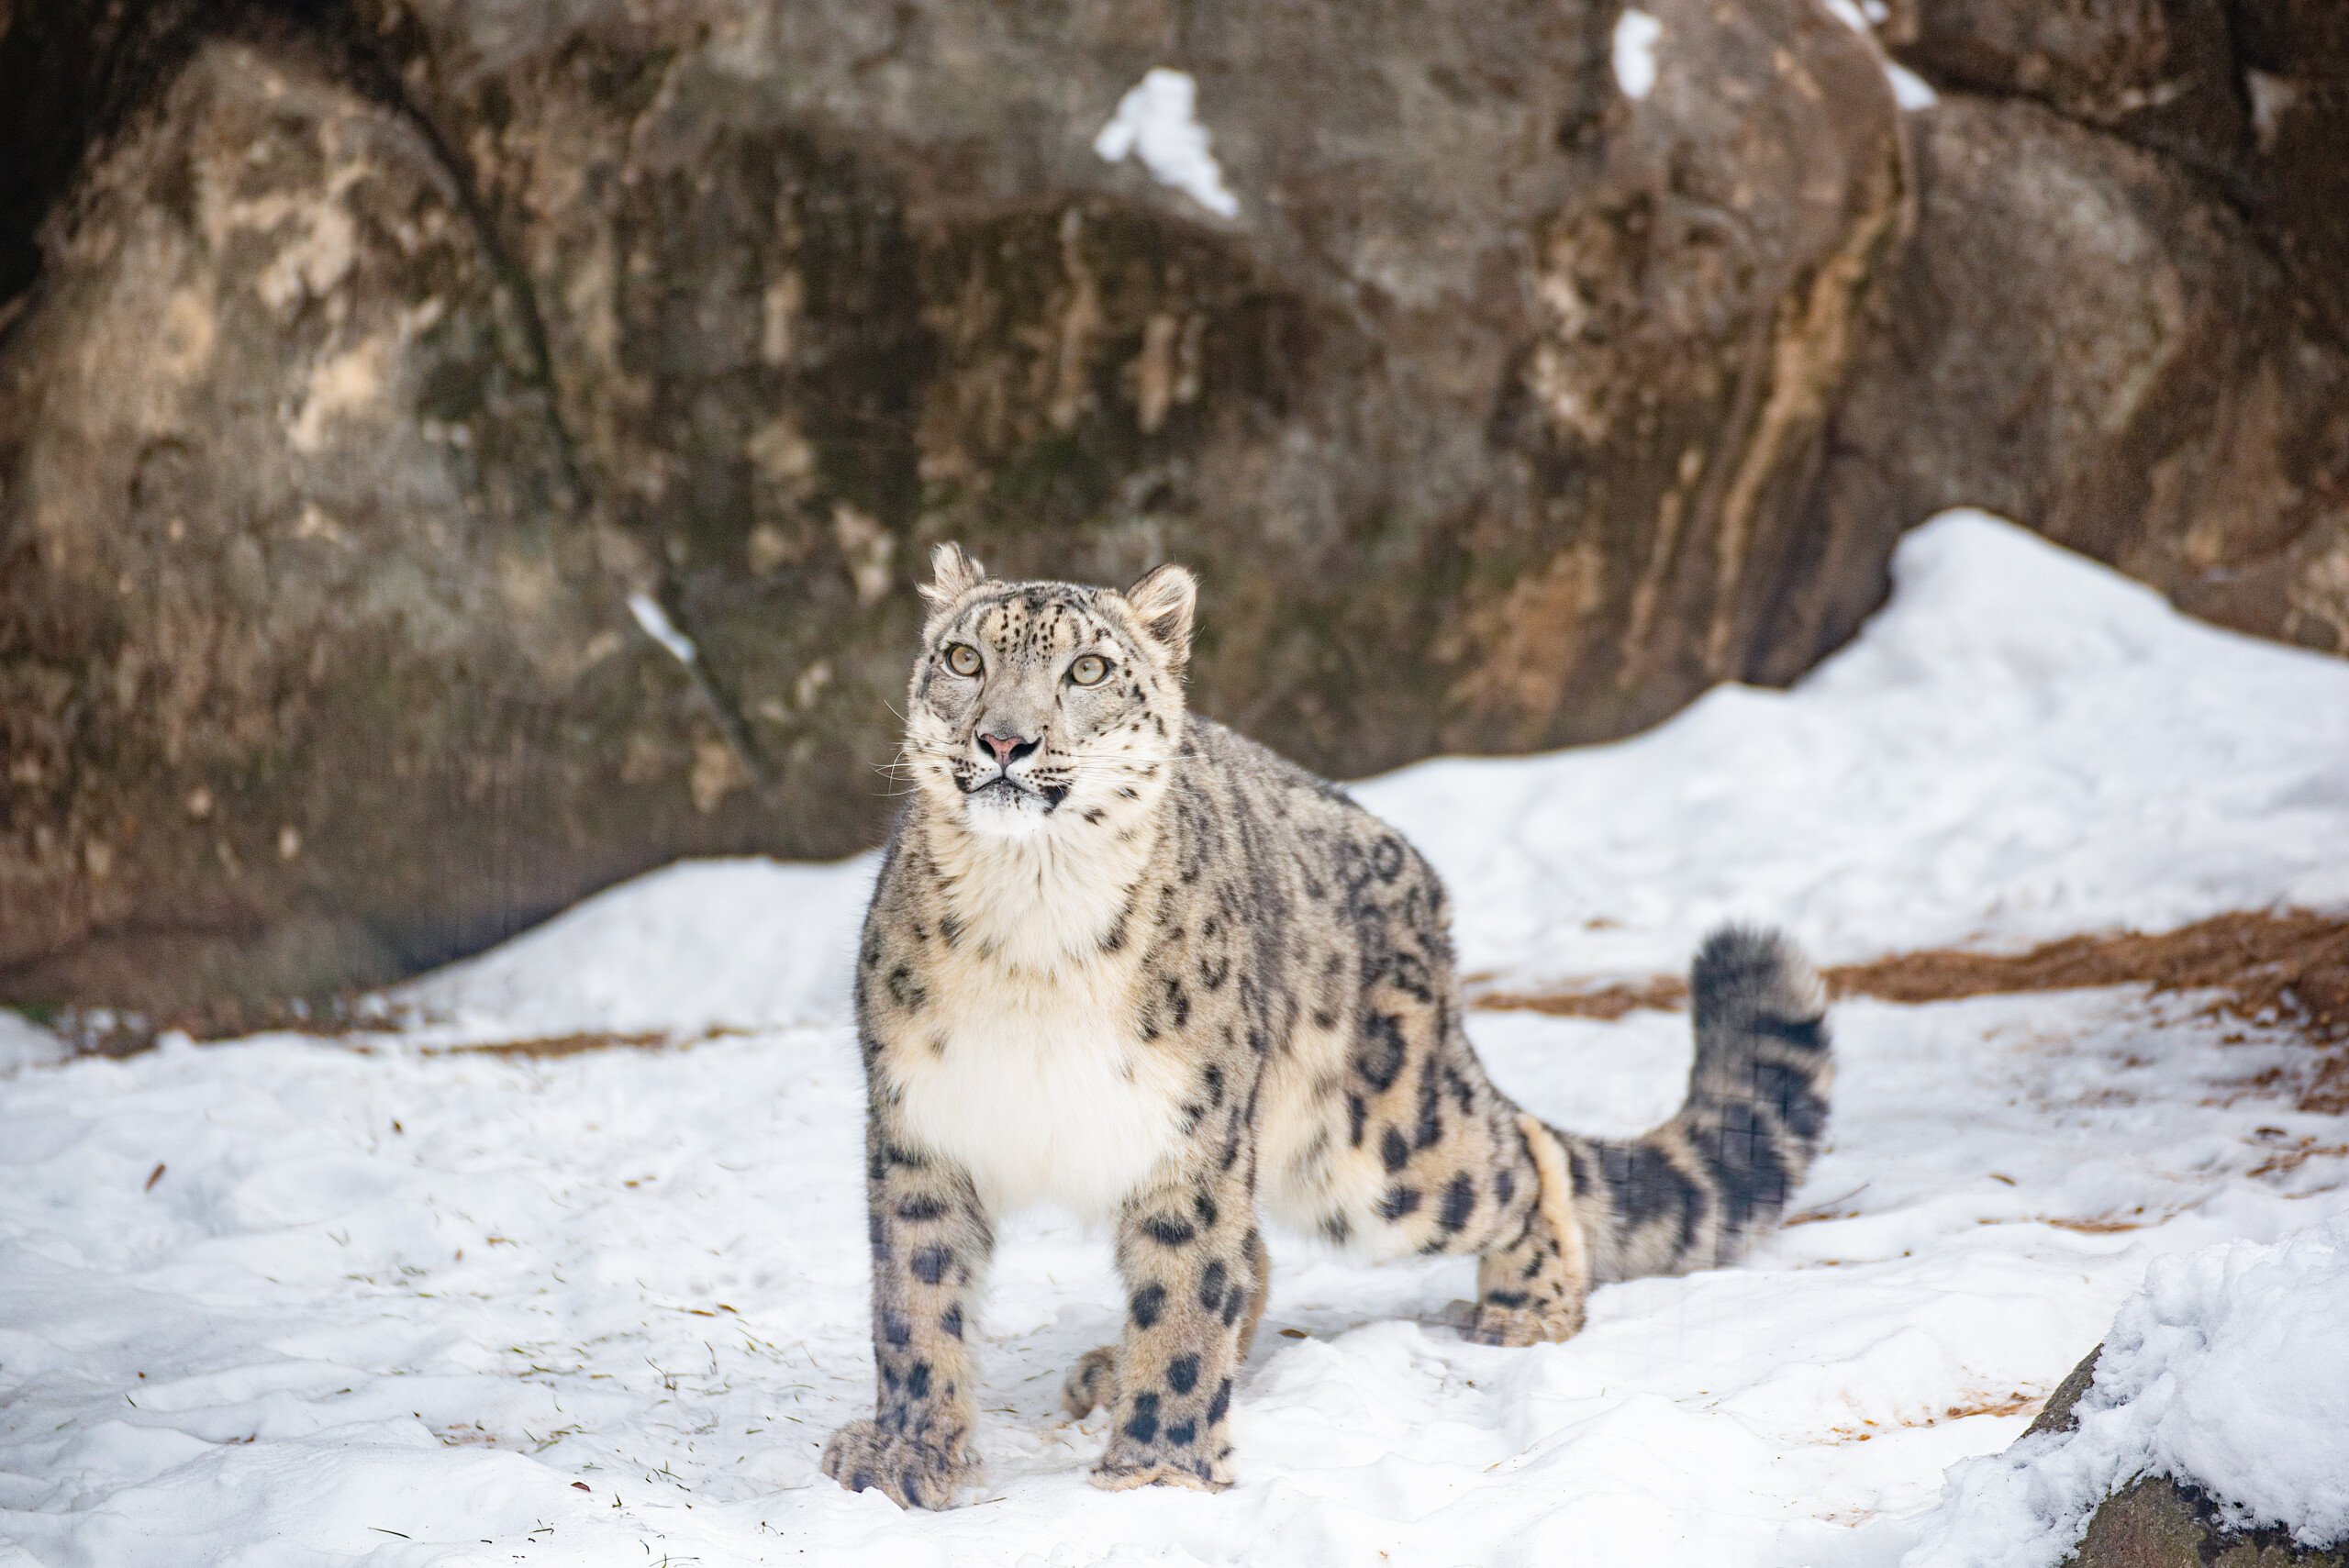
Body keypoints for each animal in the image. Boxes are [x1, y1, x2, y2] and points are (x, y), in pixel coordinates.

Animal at [827, 549, 1831, 1502]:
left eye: (1086, 668)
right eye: (964, 657)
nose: (1005, 737)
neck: (1030, 928)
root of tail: (1421, 881)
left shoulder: (1192, 1133)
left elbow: (1186, 1291)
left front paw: (1157, 1468)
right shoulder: (921, 1126)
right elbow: (915, 1297)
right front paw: (906, 1453)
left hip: (1379, 1150)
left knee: (1518, 1151)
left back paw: (1527, 1307)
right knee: (1263, 1247)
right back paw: (1109, 1368)